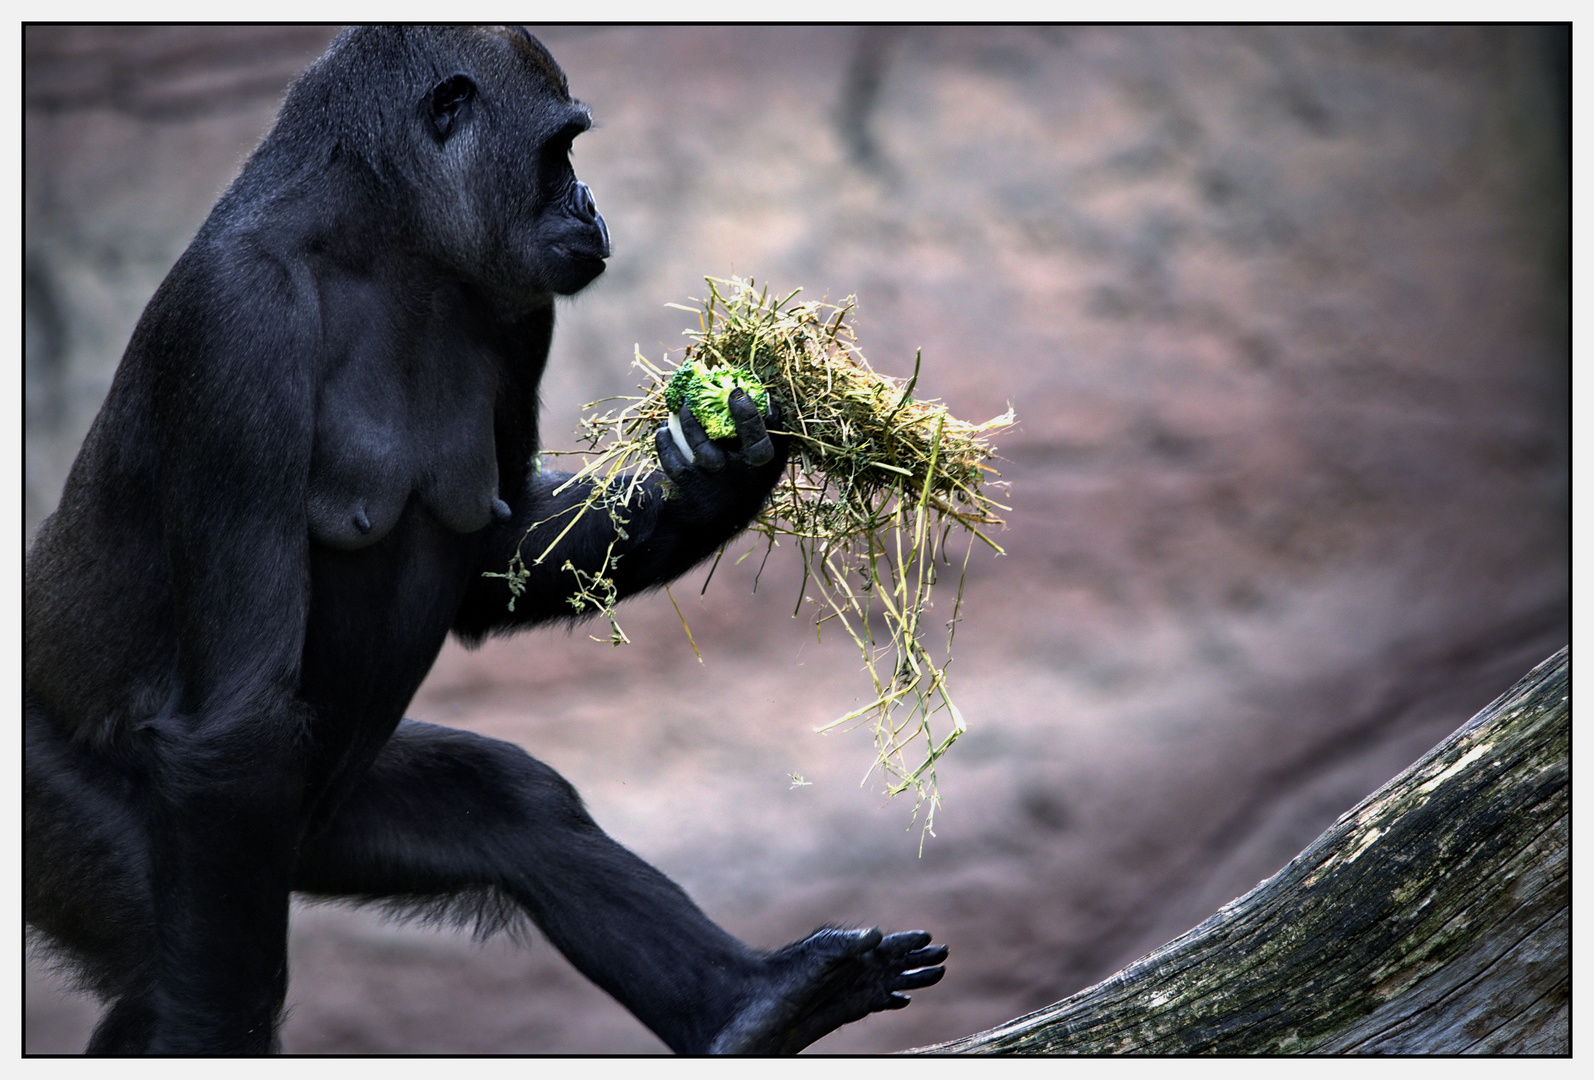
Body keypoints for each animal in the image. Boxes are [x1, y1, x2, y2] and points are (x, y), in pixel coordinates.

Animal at [21, 25, 943, 1057]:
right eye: (562, 150)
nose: (590, 201)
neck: (383, 242)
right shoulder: (238, 321)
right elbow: (236, 727)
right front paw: (210, 1033)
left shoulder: (515, 302)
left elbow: (492, 566)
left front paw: (716, 472)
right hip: (63, 785)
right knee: (162, 940)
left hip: (314, 835)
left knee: (512, 808)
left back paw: (754, 1001)